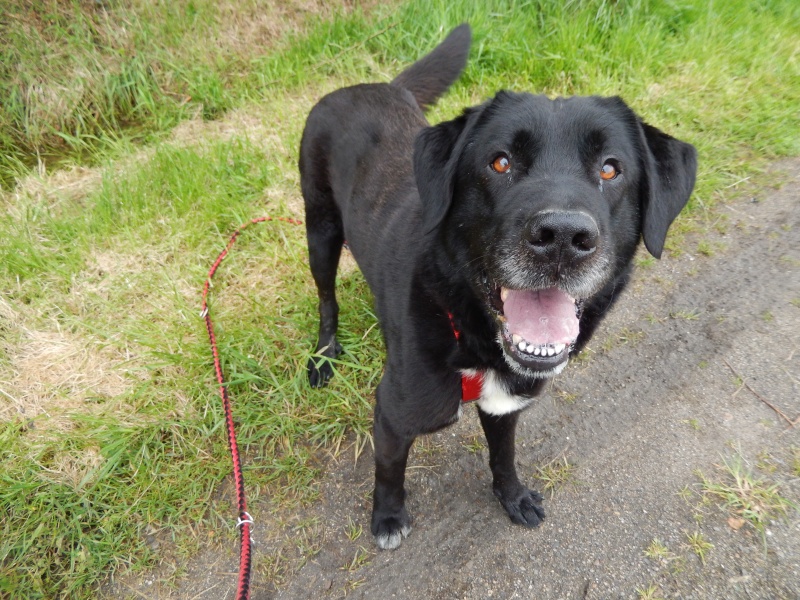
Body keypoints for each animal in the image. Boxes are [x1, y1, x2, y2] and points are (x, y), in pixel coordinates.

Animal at [298, 25, 692, 552]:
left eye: (611, 169)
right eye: (500, 163)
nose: (562, 238)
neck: (467, 330)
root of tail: (370, 86)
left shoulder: (507, 405)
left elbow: (503, 455)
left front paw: (513, 497)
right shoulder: (392, 414)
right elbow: (389, 472)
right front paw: (387, 517)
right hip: (319, 230)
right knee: (326, 297)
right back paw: (324, 355)